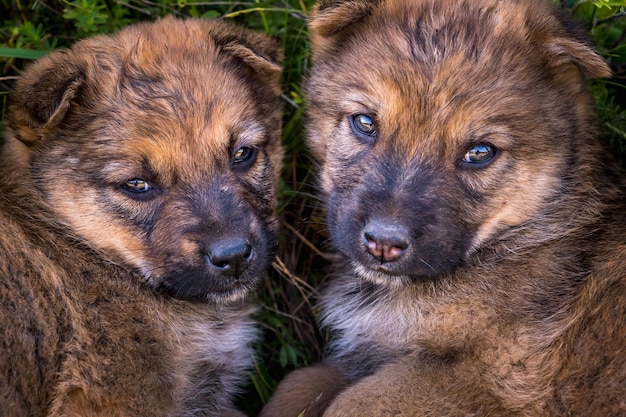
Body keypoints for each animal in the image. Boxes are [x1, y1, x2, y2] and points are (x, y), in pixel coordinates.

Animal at [260, 0, 624, 416]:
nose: (384, 243)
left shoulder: (501, 378)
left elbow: (350, 401)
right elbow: (297, 382)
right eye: (365, 122)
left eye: (479, 152)